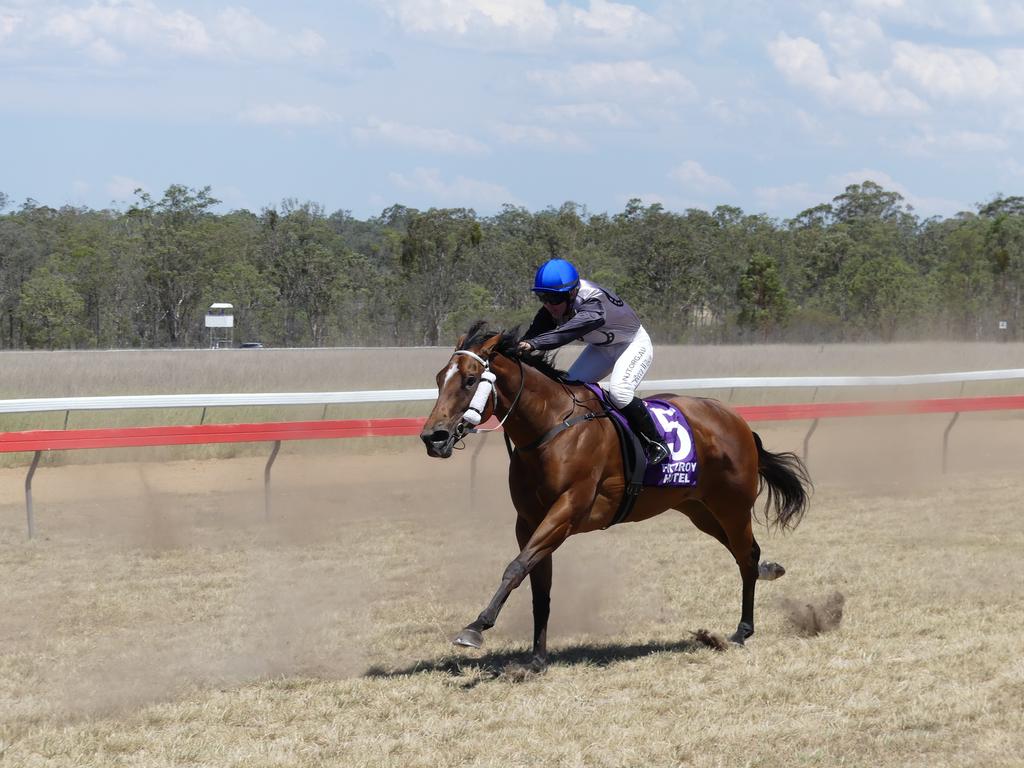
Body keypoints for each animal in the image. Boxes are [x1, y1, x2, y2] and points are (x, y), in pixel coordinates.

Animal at [419, 321, 811, 671]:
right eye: (439, 379)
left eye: (470, 380)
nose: (433, 438)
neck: (550, 428)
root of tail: (737, 420)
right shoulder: (529, 521)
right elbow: (537, 585)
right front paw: (537, 658)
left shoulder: (566, 512)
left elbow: (516, 567)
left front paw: (475, 628)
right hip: (700, 510)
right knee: (747, 553)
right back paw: (767, 573)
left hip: (731, 506)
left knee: (745, 556)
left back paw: (742, 630)